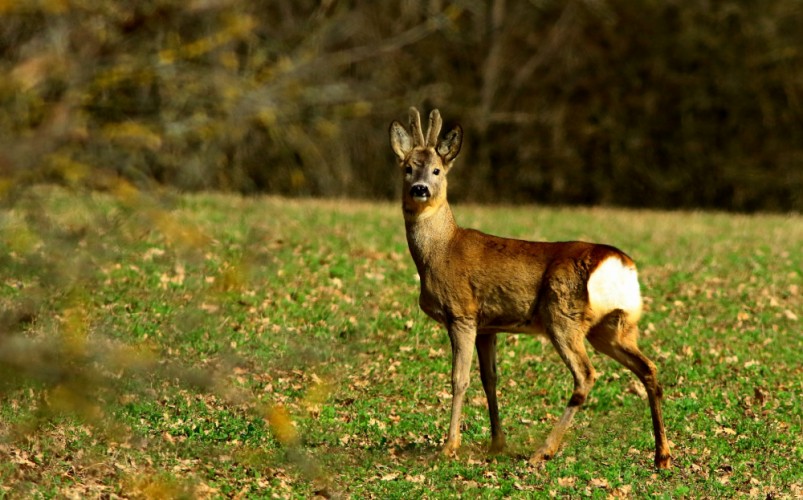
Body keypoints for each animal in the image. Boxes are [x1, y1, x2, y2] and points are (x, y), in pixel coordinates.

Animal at [390, 106, 672, 468]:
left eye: (437, 169)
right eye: (408, 168)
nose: (420, 189)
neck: (441, 250)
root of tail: (619, 262)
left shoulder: (462, 313)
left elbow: (459, 379)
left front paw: (449, 446)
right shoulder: (487, 324)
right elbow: (489, 379)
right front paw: (497, 443)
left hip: (561, 315)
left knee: (586, 375)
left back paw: (544, 451)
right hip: (614, 326)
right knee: (648, 368)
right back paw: (662, 455)